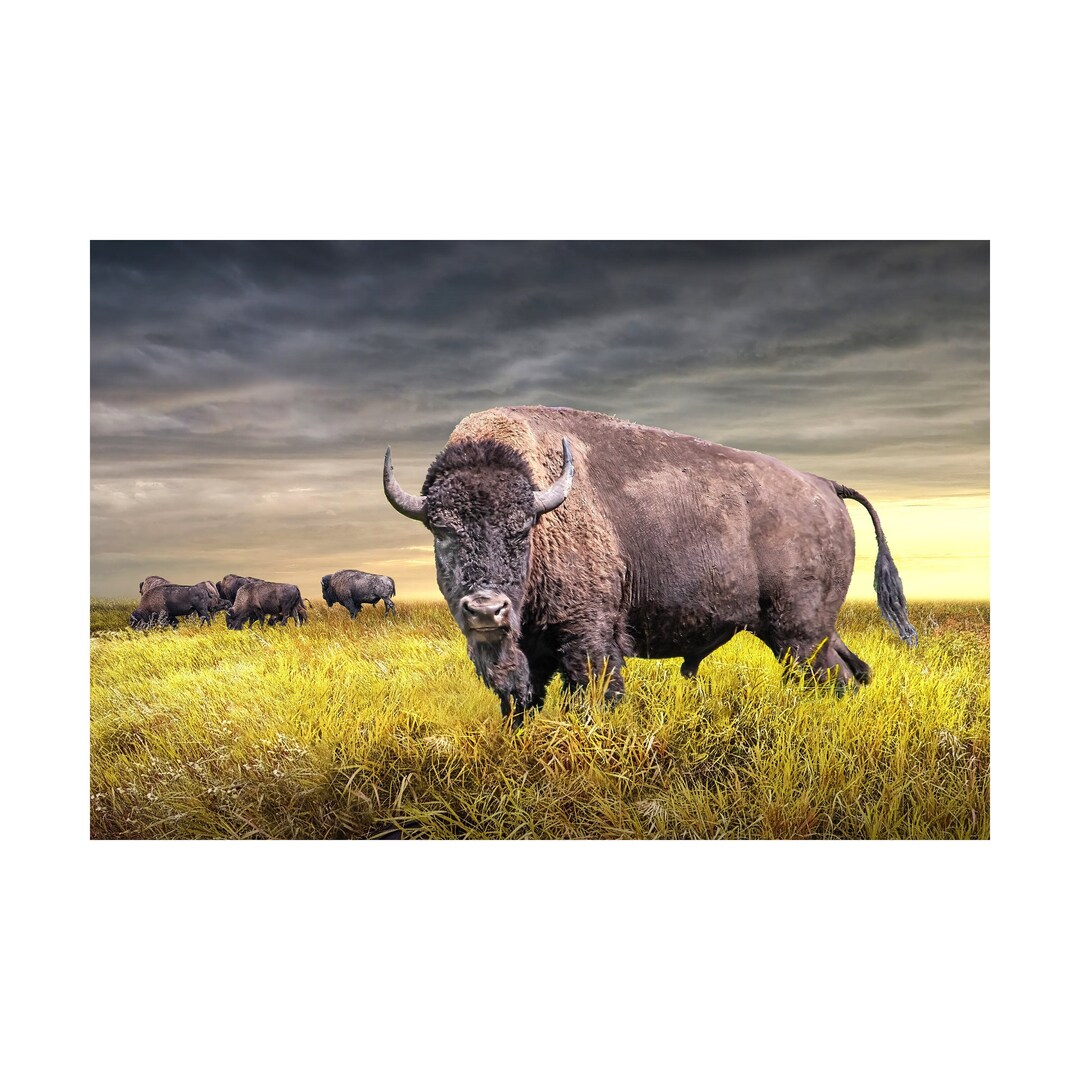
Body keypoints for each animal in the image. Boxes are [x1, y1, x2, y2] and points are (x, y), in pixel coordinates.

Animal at [384, 405, 917, 722]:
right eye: (442, 532)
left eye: (523, 530)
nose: (485, 610)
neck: (544, 503)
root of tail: (824, 484)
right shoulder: (530, 654)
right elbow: (521, 701)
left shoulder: (589, 638)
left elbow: (596, 693)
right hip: (807, 628)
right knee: (855, 669)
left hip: (800, 634)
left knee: (832, 676)